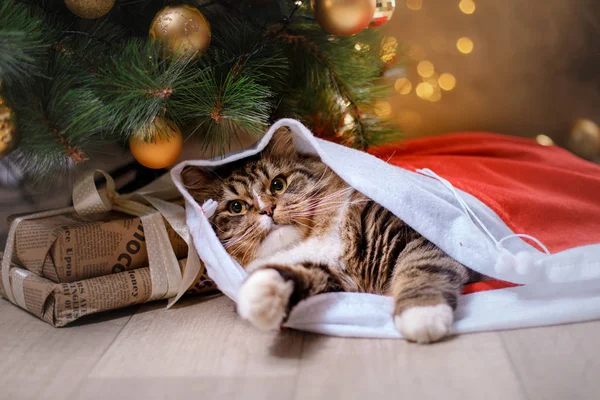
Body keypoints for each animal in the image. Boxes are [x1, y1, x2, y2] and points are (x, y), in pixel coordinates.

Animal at [180, 128, 480, 344]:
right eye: (236, 207)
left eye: (278, 185)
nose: (268, 210)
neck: (314, 241)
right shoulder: (332, 276)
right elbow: (294, 275)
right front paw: (259, 295)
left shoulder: (414, 234)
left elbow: (421, 268)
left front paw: (422, 314)